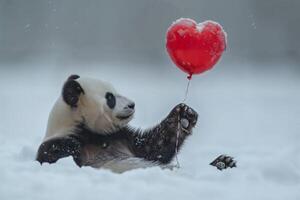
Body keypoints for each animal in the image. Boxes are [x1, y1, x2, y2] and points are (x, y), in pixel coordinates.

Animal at [36, 74, 198, 173]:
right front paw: (73, 147)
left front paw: (185, 116)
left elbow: (153, 149)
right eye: (110, 98)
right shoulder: (58, 139)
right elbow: (52, 156)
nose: (132, 105)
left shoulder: (120, 137)